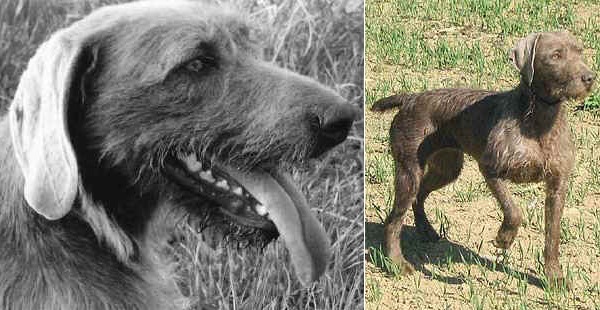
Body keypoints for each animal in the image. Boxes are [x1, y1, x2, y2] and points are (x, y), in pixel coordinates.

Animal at [376, 31, 596, 286]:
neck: (540, 119)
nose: (590, 77)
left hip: (447, 168)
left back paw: (426, 231)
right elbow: (514, 211)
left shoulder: (558, 185)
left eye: (580, 52)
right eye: (556, 55)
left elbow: (553, 235)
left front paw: (554, 277)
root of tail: (410, 98)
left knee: (419, 197)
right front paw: (504, 238)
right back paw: (396, 263)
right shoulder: (490, 168)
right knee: (393, 220)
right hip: (409, 171)